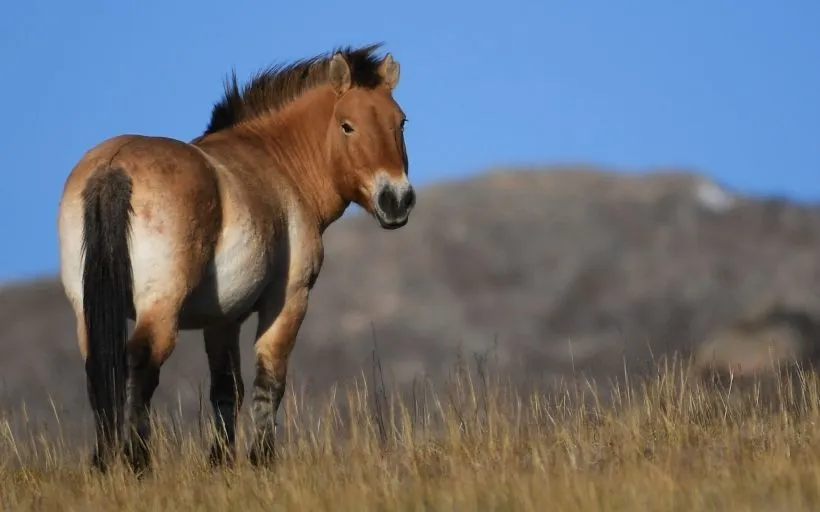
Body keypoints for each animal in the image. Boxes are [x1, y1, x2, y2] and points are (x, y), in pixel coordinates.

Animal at [56, 44, 416, 472]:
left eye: (400, 123)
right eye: (347, 126)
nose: (396, 200)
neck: (278, 164)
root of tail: (114, 166)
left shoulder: (222, 319)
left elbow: (227, 389)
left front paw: (220, 462)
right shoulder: (287, 300)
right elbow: (269, 380)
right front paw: (261, 459)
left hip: (86, 308)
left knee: (100, 367)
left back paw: (104, 461)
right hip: (160, 306)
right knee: (141, 363)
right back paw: (137, 460)